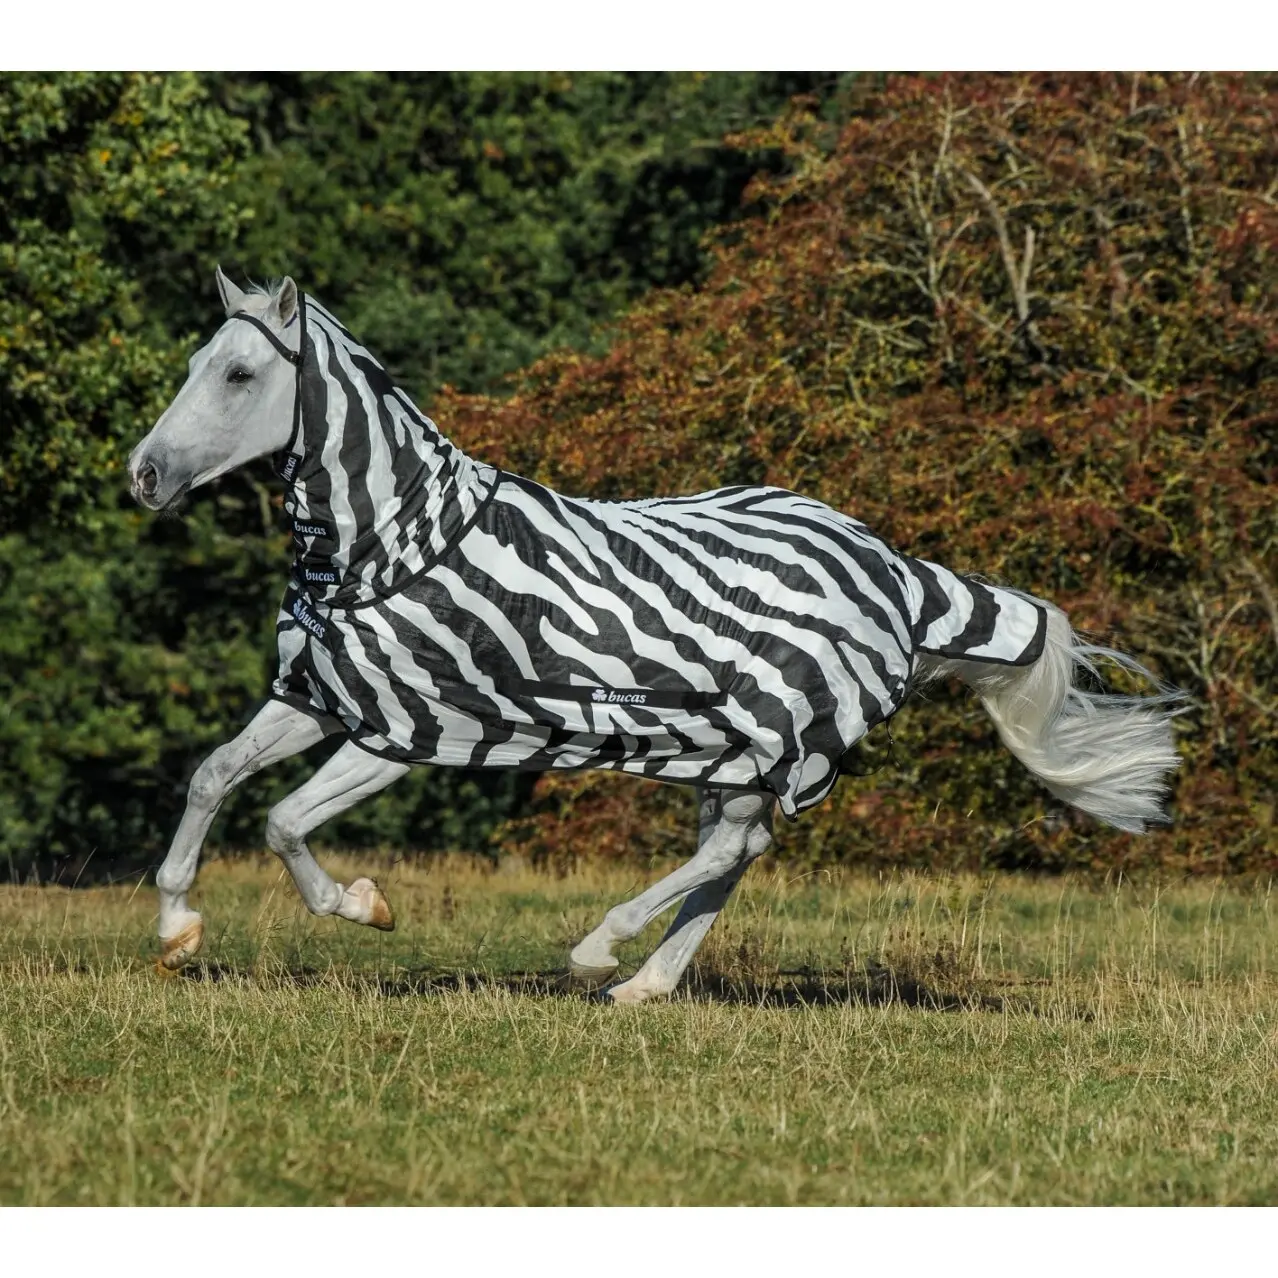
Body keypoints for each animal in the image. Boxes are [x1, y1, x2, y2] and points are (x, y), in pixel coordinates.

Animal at [126, 269, 1181, 1002]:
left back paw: (600, 953)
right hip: (734, 748)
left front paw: (364, 906)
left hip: (775, 736)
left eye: (240, 373)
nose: (144, 475)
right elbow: (214, 778)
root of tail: (897, 571)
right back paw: (645, 984)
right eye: (193, 365)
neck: (389, 542)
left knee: (730, 850)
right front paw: (177, 930)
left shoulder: (410, 728)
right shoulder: (316, 699)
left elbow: (282, 820)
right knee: (739, 851)